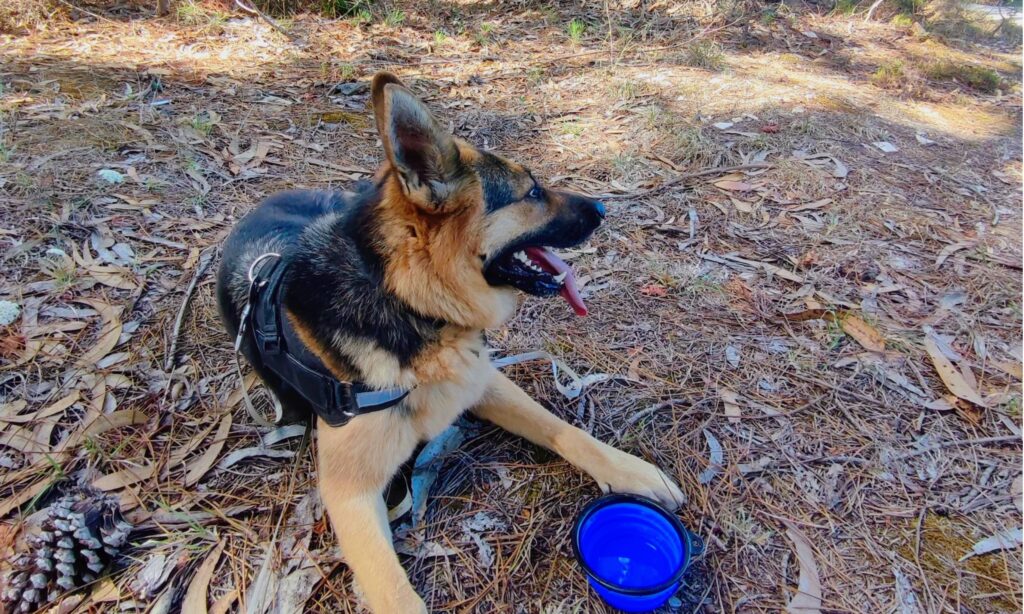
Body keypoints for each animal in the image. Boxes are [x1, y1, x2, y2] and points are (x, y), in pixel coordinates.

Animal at [215, 74, 679, 609]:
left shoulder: (479, 379)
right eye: (532, 191)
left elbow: (565, 431)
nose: (603, 208)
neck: (409, 303)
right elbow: (396, 595)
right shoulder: (349, 493)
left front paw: (633, 471)